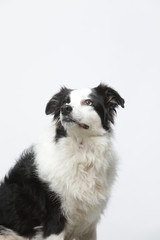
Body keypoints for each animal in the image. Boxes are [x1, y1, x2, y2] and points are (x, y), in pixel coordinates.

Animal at [0, 83, 124, 239]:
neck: (82, 151)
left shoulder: (89, 223)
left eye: (88, 102)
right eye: (66, 102)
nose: (65, 109)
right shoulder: (55, 219)